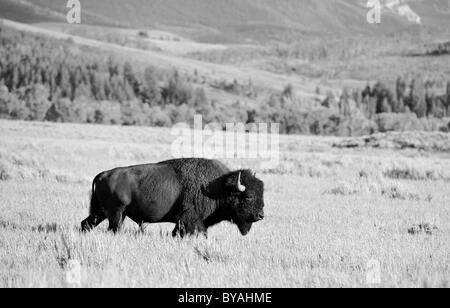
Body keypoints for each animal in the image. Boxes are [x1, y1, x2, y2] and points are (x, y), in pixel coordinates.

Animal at [80, 158, 264, 237]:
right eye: (248, 197)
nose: (261, 215)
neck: (218, 187)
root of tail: (103, 174)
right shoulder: (191, 220)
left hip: (101, 212)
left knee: (86, 224)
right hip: (116, 213)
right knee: (113, 228)